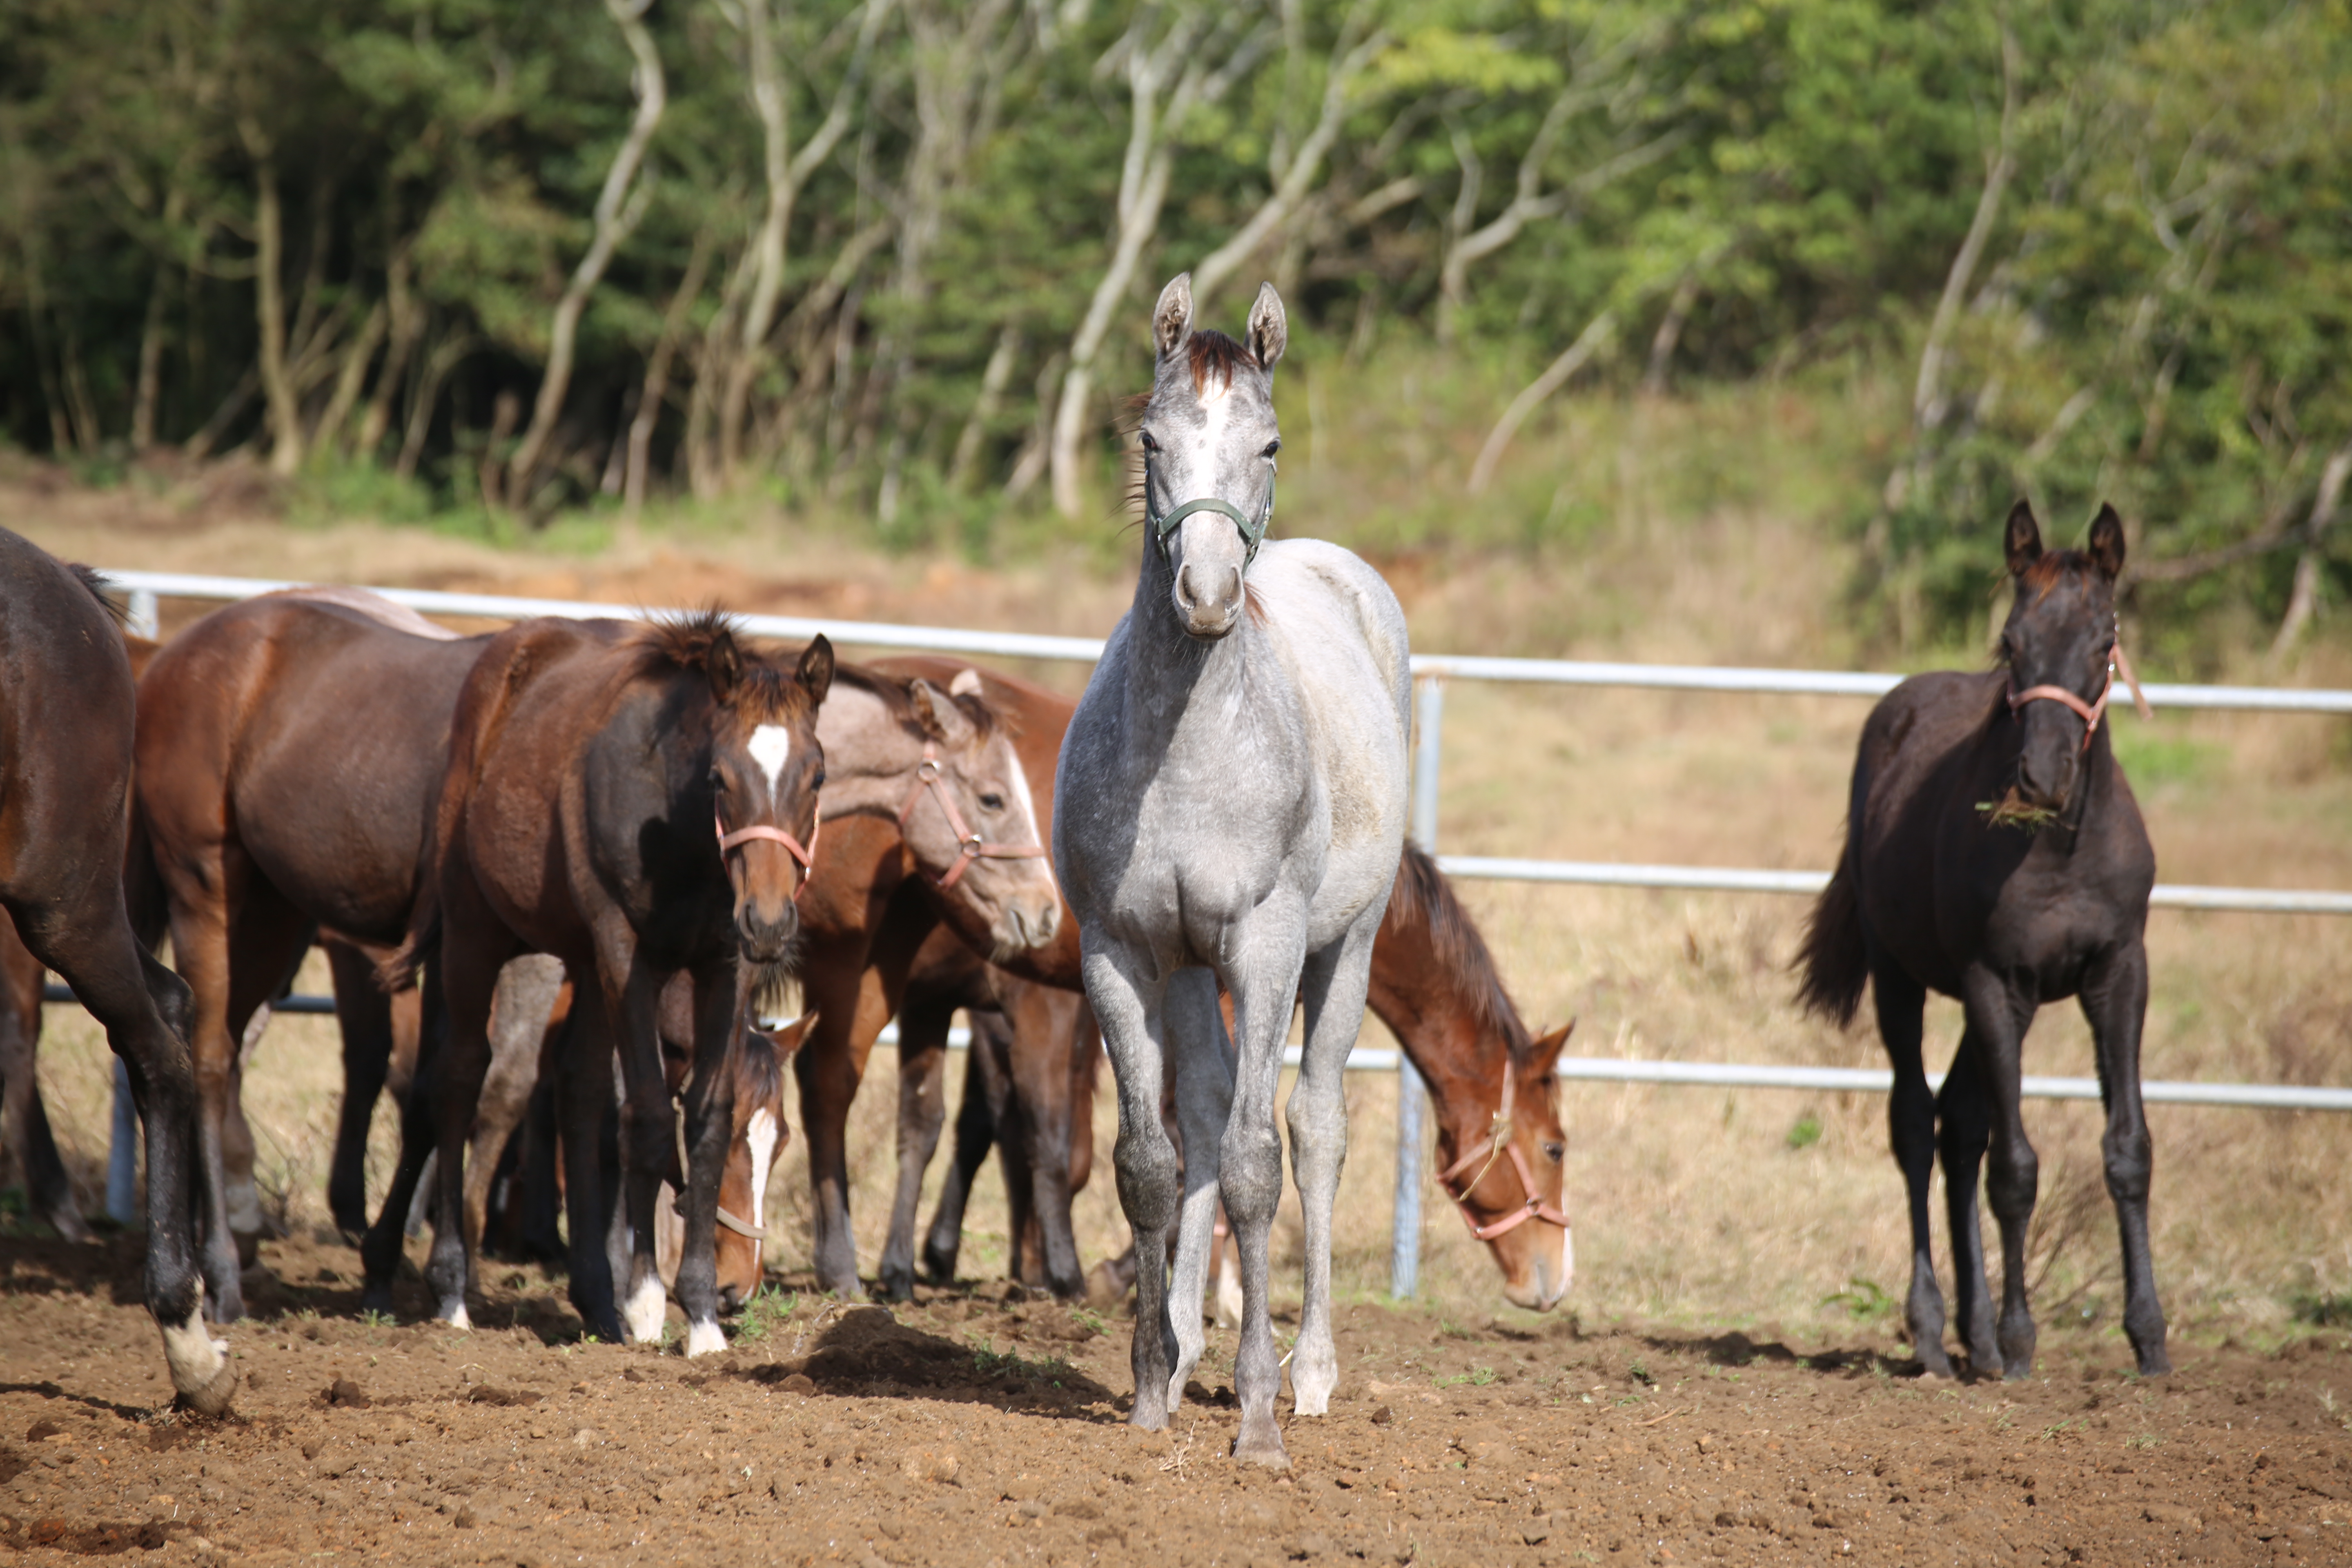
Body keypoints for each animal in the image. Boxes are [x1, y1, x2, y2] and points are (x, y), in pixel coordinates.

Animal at [1054, 276, 1401, 1467]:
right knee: (1201, 1117)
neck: (1190, 748)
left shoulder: (1265, 942)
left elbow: (1257, 1165)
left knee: (1316, 1130)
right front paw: (1150, 1385)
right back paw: (1186, 1351)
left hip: (1345, 948)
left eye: (1270, 441)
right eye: (1151, 440)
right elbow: (1152, 1163)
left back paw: (1312, 1373)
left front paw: (1256, 1419)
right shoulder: (1123, 951)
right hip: (1192, 965)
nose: (1205, 592)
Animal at [1797, 505, 2164, 1382]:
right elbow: (2017, 1169)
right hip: (1906, 979)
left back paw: (1978, 1338)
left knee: (1958, 1126)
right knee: (1914, 1125)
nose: (2042, 776)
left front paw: (2149, 1338)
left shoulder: (2118, 976)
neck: (2060, 849)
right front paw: (2024, 1342)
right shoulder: (1996, 980)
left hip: (1986, 1003)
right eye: (2010, 638)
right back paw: (1937, 1332)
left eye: (2105, 638)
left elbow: (2127, 1150)